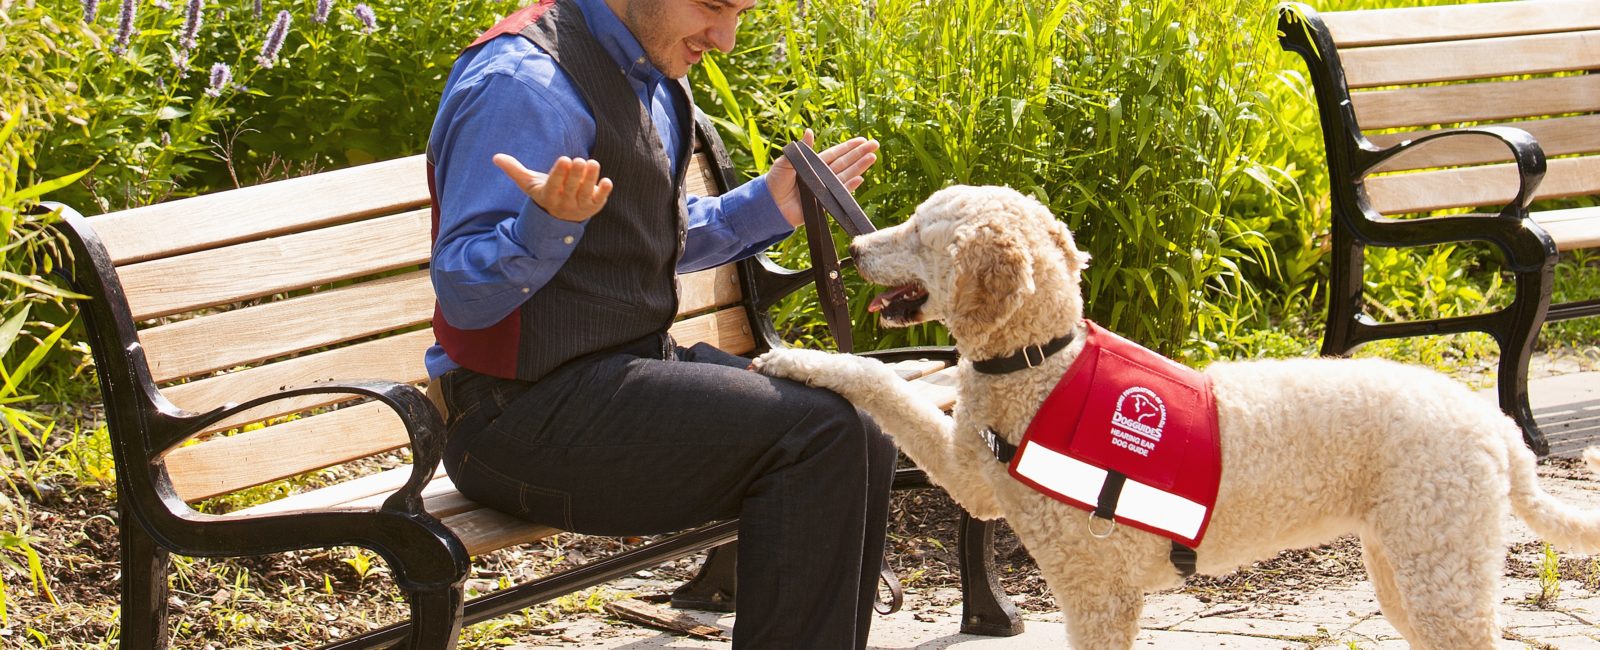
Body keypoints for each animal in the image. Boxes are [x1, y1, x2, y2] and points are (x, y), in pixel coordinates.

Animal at [755, 184, 1600, 650]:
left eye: (921, 232)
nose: (853, 250)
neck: (1041, 363)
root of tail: (1495, 427)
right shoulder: (975, 483)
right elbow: (902, 383)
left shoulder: (1094, 593)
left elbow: (882, 383)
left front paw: (795, 360)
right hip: (1409, 567)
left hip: (1439, 569)